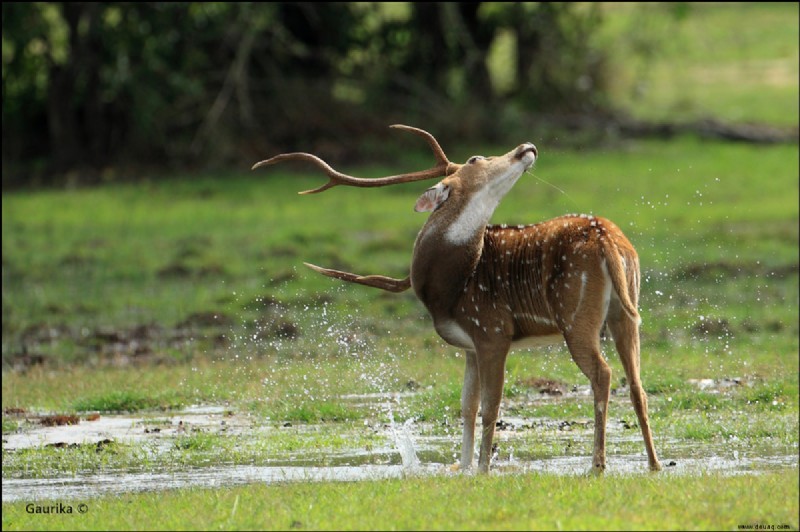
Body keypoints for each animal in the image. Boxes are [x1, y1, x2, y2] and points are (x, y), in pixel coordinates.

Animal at [255, 124, 664, 474]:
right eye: (475, 158)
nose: (525, 147)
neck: (447, 289)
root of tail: (609, 239)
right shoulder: (470, 345)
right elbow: (467, 407)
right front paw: (464, 466)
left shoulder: (492, 330)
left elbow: (490, 406)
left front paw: (483, 468)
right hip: (625, 311)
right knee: (637, 384)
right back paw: (654, 463)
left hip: (576, 314)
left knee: (603, 374)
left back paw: (597, 464)